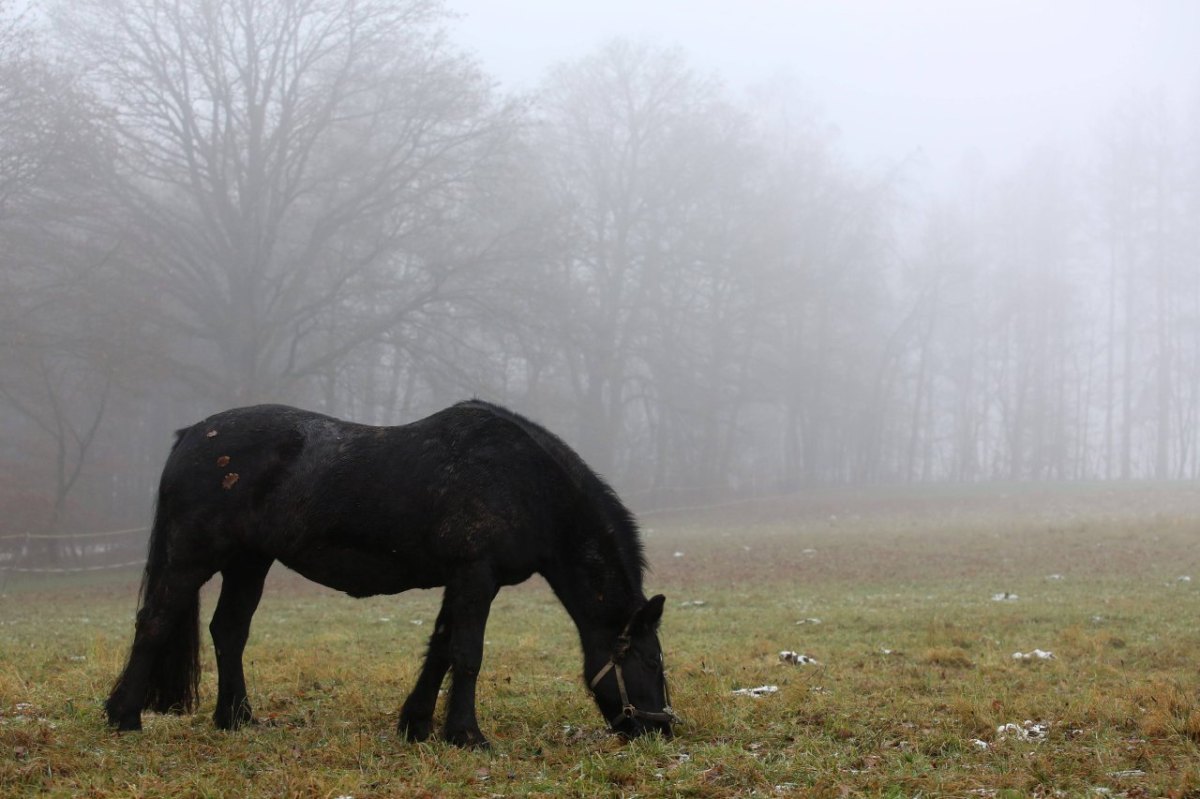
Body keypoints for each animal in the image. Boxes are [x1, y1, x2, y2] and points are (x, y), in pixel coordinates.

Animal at [103, 400, 676, 743]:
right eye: (649, 661)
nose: (662, 730)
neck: (525, 483)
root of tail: (193, 434)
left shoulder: (460, 580)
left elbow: (440, 650)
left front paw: (417, 724)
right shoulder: (476, 576)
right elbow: (467, 655)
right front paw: (466, 736)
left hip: (249, 562)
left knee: (229, 632)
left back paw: (236, 719)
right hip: (192, 557)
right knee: (154, 623)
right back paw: (125, 716)